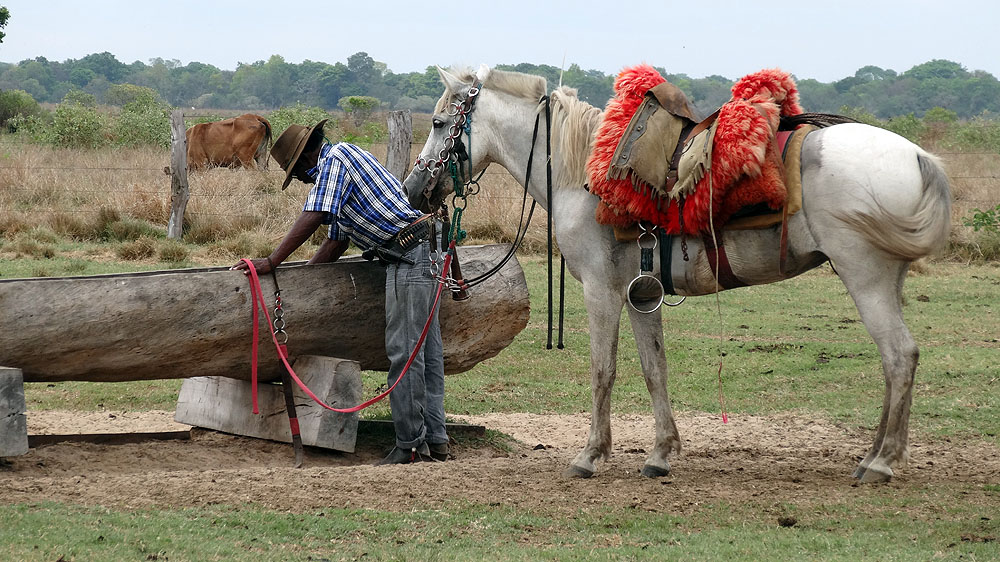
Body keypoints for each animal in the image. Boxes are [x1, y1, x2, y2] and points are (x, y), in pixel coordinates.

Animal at [400, 64, 952, 476]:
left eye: (438, 123)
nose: (413, 189)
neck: (580, 173)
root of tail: (916, 155)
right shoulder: (640, 294)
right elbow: (654, 369)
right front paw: (661, 453)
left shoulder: (602, 291)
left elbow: (603, 370)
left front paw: (590, 455)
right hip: (884, 276)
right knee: (897, 361)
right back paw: (872, 455)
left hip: (865, 275)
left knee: (899, 356)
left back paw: (882, 462)